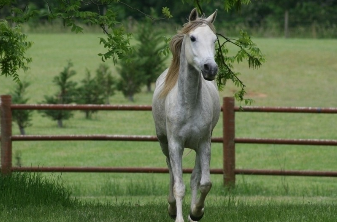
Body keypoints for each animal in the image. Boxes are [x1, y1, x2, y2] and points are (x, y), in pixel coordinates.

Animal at [152, 8, 220, 222]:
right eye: (193, 37)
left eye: (214, 39)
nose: (210, 68)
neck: (189, 105)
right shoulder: (175, 145)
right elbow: (178, 186)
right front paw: (179, 217)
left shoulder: (204, 144)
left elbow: (203, 183)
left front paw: (196, 212)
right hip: (164, 143)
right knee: (172, 173)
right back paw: (172, 207)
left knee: (194, 178)